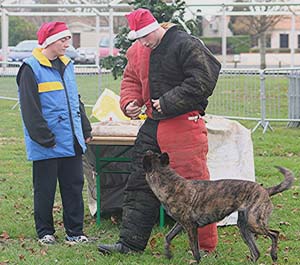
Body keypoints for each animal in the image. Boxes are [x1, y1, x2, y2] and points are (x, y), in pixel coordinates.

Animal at [143, 150, 296, 262]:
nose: (147, 149)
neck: (170, 183)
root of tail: (264, 190)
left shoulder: (191, 227)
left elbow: (195, 250)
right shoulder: (181, 224)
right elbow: (168, 237)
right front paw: (168, 254)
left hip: (254, 223)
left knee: (274, 234)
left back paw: (274, 255)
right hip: (244, 227)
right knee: (256, 252)